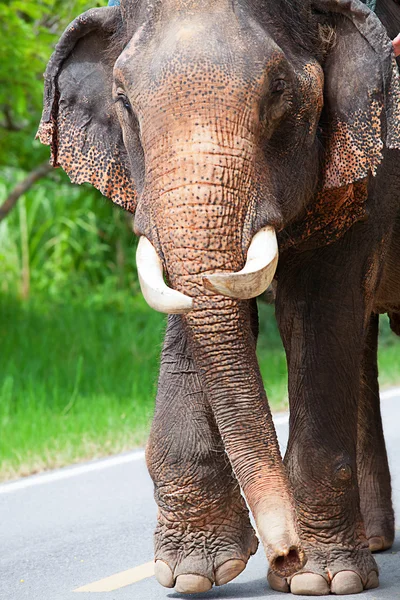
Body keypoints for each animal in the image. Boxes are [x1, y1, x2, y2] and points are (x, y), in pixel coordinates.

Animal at [37, 1, 400, 596]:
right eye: (123, 102)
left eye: (278, 91)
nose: (284, 552)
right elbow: (187, 303)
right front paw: (191, 571)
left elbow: (315, 311)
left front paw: (321, 579)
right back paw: (372, 541)